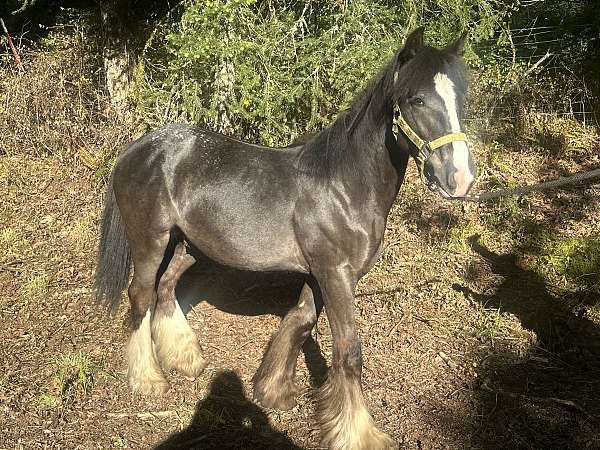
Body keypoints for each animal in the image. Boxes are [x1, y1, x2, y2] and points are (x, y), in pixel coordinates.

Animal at [94, 28, 476, 450]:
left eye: (460, 98)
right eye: (417, 99)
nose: (460, 178)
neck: (343, 187)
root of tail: (138, 148)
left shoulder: (320, 274)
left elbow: (300, 321)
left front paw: (272, 391)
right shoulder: (335, 273)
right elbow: (348, 351)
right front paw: (359, 434)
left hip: (190, 245)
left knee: (166, 286)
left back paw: (186, 358)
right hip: (150, 240)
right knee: (141, 296)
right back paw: (149, 379)